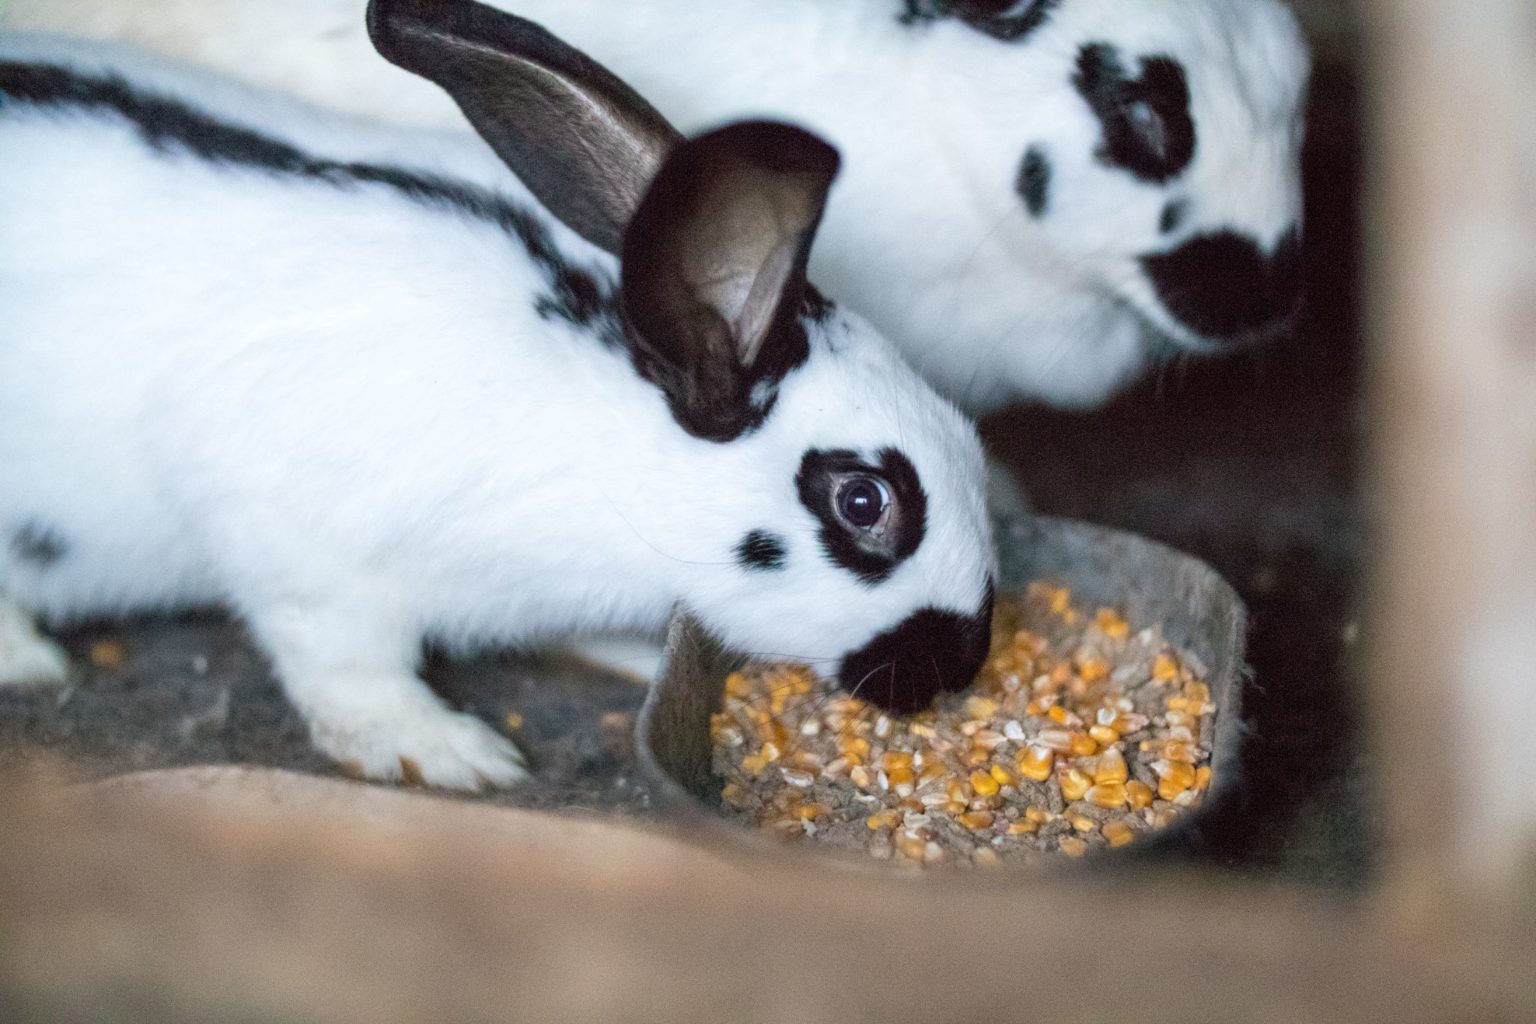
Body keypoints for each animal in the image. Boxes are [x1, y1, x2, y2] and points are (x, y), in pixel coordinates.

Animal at [0, 0, 995, 792]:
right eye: (862, 500)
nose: (960, 665)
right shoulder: (292, 540)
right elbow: (344, 665)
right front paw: (445, 752)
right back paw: (27, 662)